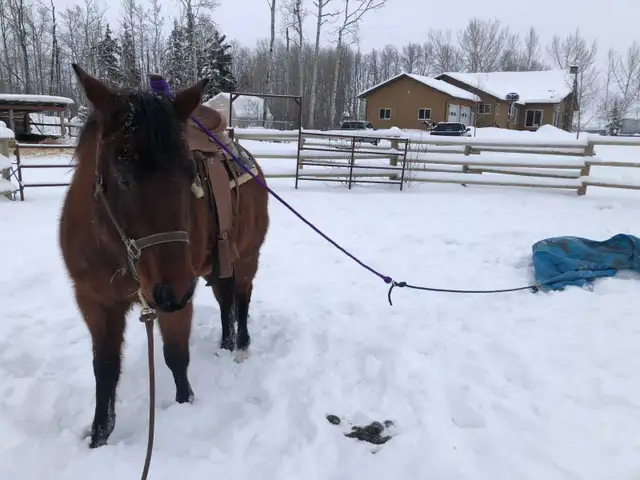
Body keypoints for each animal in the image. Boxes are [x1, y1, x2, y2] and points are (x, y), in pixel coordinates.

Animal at [58, 64, 269, 449]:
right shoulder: (94, 300)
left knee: (242, 297)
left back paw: (241, 346)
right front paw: (99, 435)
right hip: (213, 266)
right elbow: (105, 369)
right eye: (122, 175)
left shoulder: (176, 297)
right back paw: (225, 342)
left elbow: (176, 357)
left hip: (245, 256)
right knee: (225, 299)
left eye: (190, 174)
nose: (170, 292)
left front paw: (186, 405)